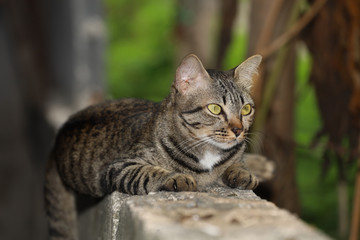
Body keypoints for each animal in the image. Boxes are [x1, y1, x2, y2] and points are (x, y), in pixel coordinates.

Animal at [45, 53, 264, 239]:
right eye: (215, 109)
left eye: (246, 109)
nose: (238, 130)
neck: (208, 152)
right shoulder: (118, 167)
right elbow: (149, 172)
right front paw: (176, 177)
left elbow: (237, 164)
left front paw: (242, 173)